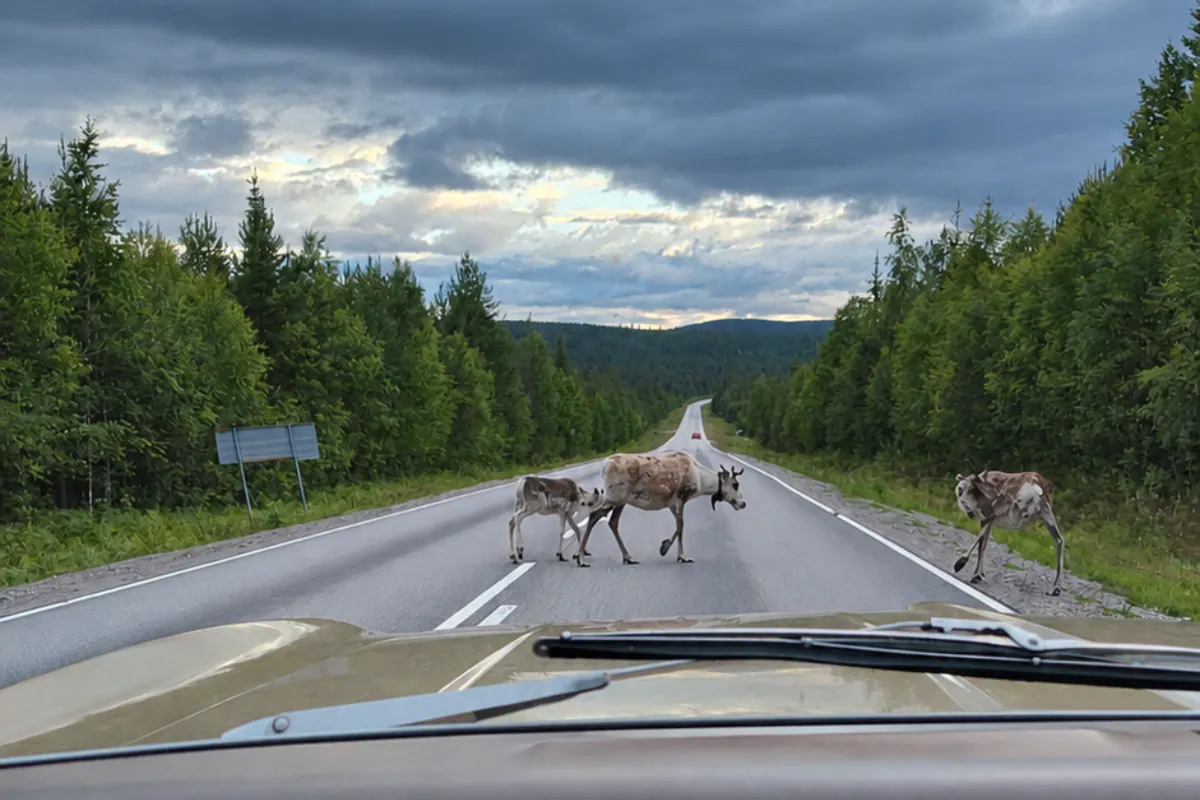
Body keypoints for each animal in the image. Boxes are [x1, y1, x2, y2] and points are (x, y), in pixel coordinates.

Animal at [574, 451, 747, 567]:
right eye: (735, 484)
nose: (743, 503)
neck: (701, 478)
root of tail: (604, 465)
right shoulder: (680, 498)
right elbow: (681, 525)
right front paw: (677, 553)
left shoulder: (671, 503)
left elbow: (678, 525)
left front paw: (668, 548)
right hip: (615, 497)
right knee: (595, 515)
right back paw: (581, 558)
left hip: (621, 501)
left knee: (612, 522)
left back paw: (628, 557)